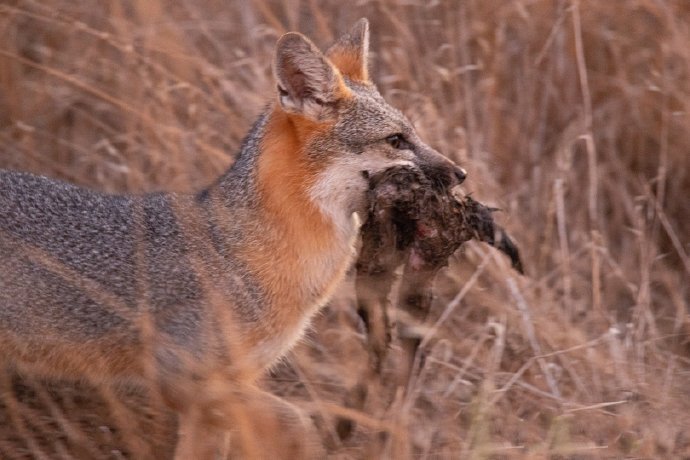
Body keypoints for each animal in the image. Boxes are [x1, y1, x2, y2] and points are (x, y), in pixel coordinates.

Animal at [0, 18, 464, 460]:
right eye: (396, 140)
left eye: (413, 134)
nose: (461, 173)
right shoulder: (179, 374)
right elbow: (296, 419)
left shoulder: (218, 397)